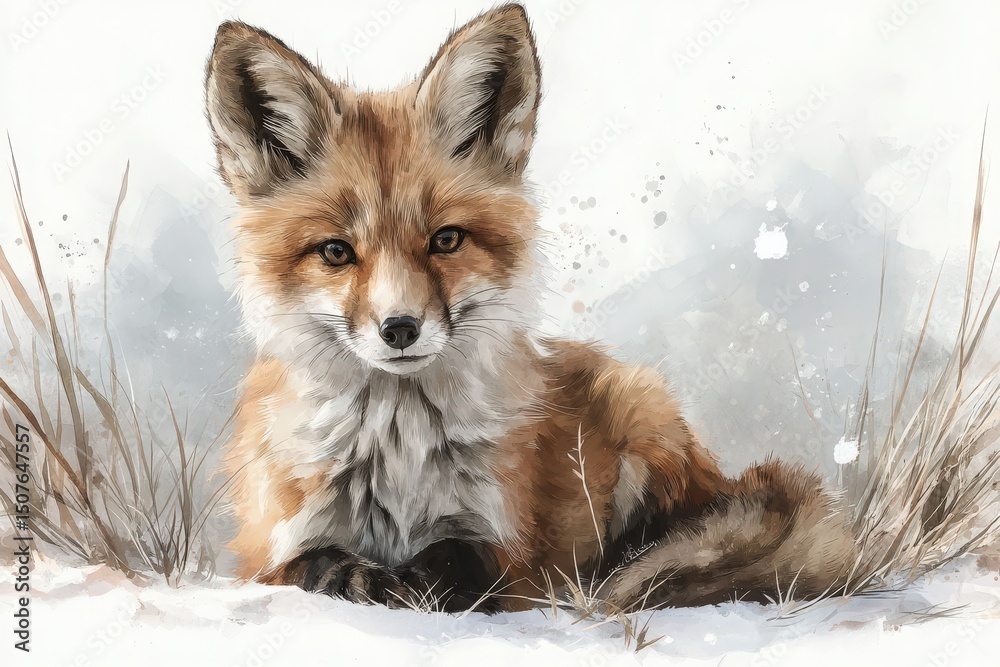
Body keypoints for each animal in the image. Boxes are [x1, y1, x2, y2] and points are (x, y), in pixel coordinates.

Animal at [205, 4, 857, 612]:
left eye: (446, 240)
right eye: (336, 251)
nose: (400, 328)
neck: (398, 453)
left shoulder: (511, 548)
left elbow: (459, 562)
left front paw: (415, 581)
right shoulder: (265, 548)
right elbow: (311, 564)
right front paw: (358, 577)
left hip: (644, 411)